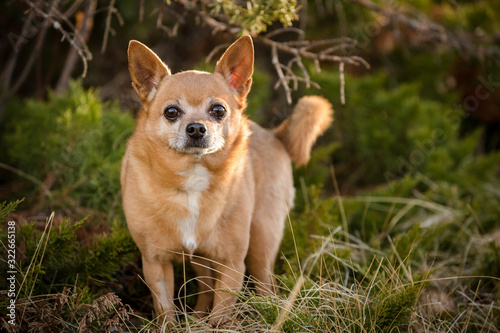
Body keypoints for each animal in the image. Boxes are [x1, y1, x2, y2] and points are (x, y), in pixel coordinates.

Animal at [120, 36, 332, 324]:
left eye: (218, 110)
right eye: (171, 112)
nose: (196, 128)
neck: (192, 180)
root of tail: (276, 135)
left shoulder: (231, 263)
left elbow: (221, 313)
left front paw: (218, 324)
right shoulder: (155, 263)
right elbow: (165, 311)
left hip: (261, 244)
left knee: (266, 287)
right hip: (201, 258)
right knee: (206, 287)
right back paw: (197, 318)